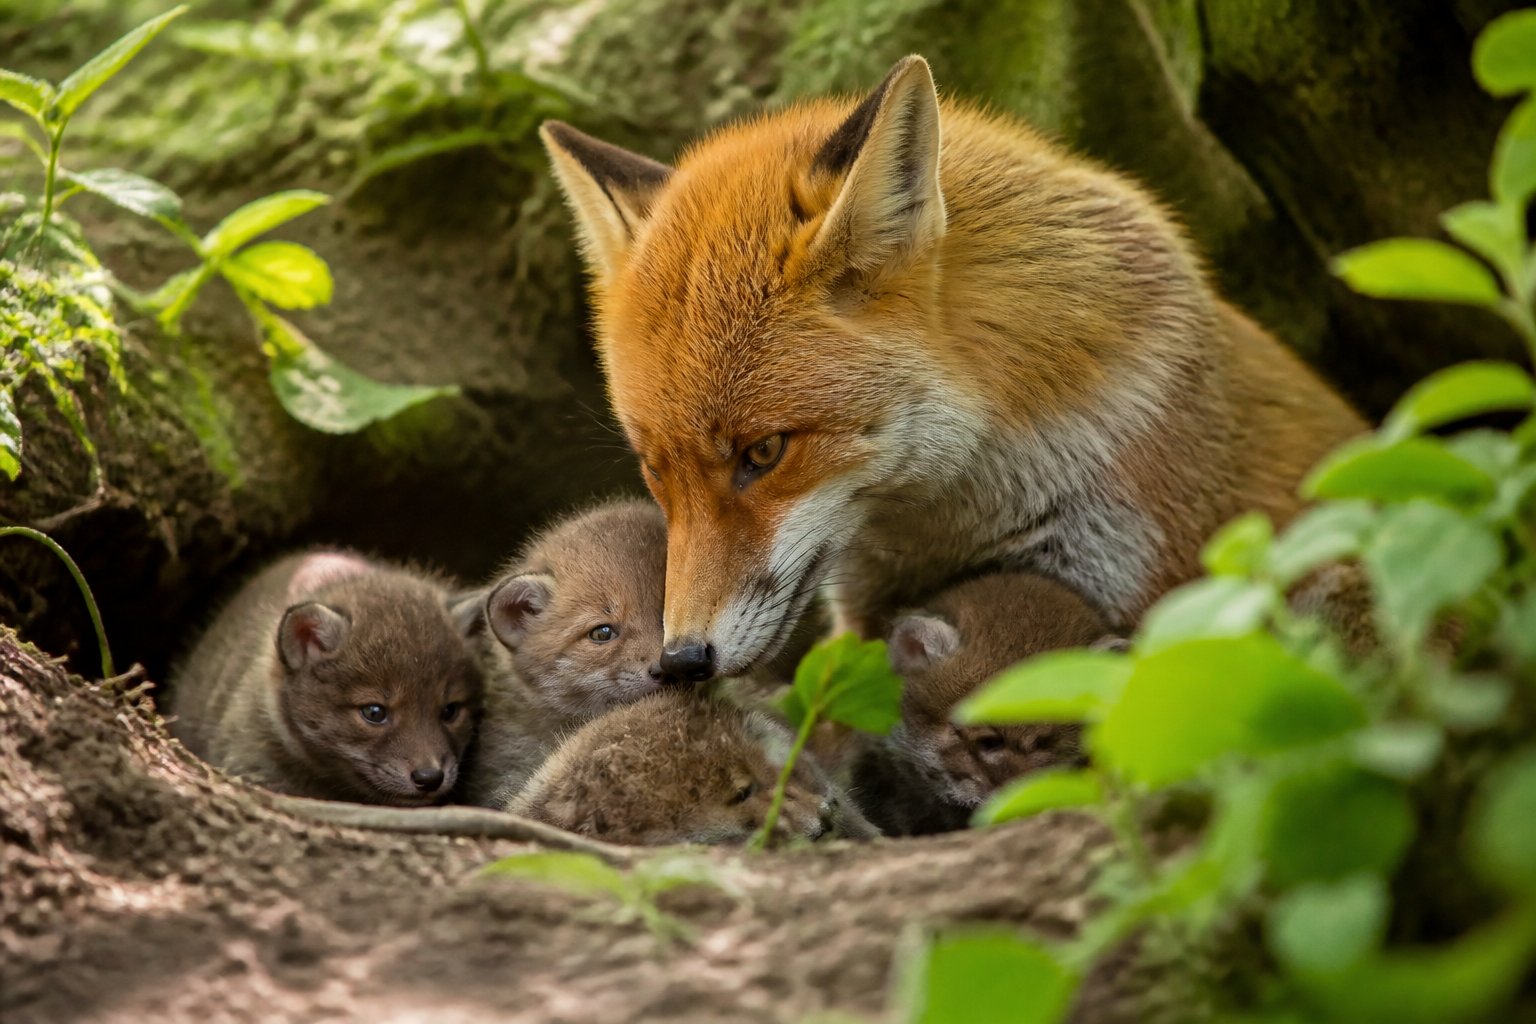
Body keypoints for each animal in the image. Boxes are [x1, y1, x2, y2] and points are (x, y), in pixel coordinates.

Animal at [540, 54, 1366, 682]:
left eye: (764, 453)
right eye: (654, 472)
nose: (682, 660)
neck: (962, 515)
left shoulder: (1149, 597)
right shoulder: (869, 613)